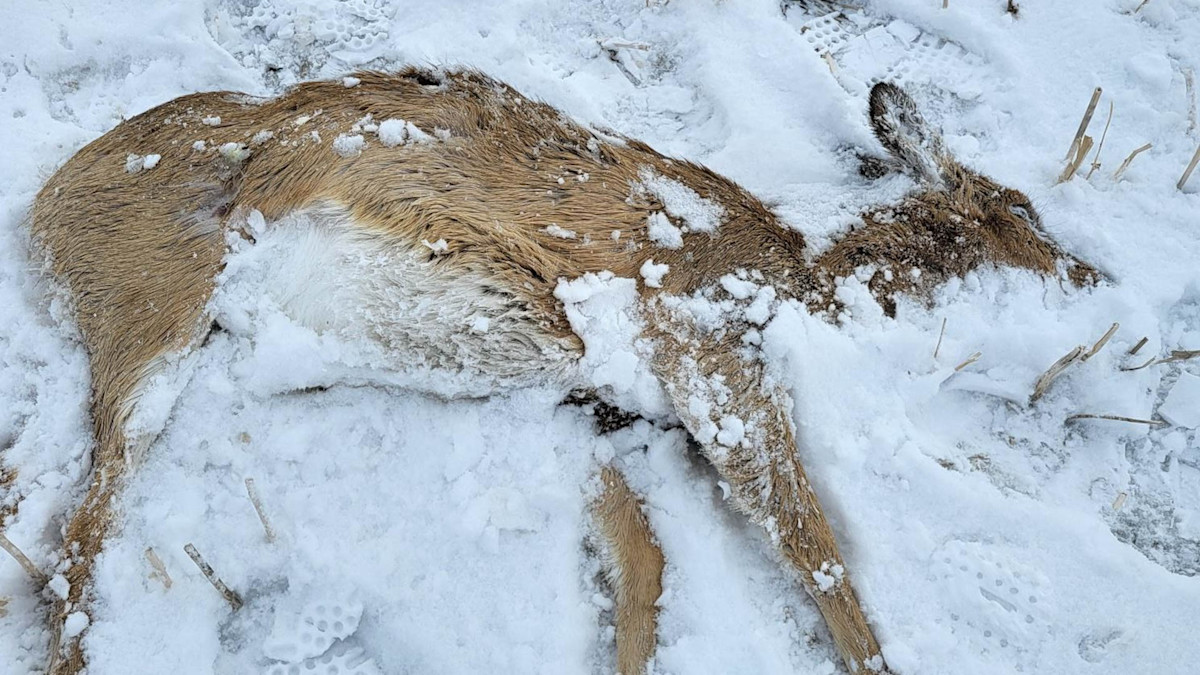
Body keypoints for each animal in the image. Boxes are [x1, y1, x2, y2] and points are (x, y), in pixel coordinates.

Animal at [24, 68, 1097, 675]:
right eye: (1023, 211)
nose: (1096, 276)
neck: (801, 270)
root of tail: (48, 199)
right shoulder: (711, 357)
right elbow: (814, 545)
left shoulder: (597, 411)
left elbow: (644, 563)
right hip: (158, 321)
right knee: (79, 541)